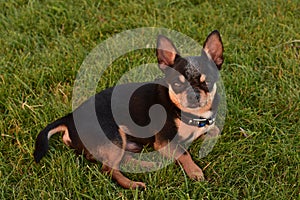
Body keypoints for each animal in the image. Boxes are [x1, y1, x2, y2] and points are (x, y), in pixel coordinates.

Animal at [34, 30, 224, 189]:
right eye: (177, 84)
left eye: (207, 82)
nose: (194, 96)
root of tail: (70, 117)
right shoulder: (165, 142)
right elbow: (184, 153)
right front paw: (195, 171)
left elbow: (213, 131)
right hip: (114, 135)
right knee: (108, 170)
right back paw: (134, 184)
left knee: (120, 160)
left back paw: (146, 165)